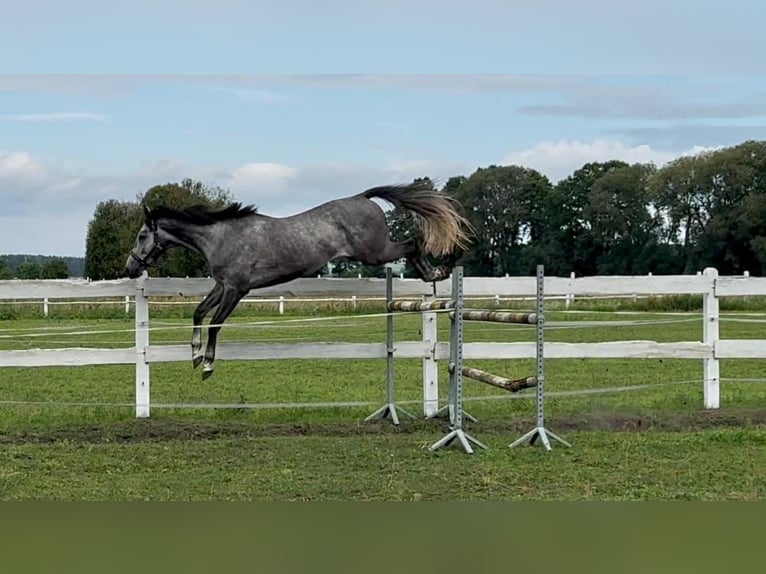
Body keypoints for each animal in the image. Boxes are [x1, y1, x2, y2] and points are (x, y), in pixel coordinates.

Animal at [125, 181, 473, 379]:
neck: (221, 236)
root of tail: (362, 197)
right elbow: (199, 313)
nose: (130, 268)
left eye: (142, 236)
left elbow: (214, 324)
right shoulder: (222, 285)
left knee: (412, 243)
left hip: (375, 252)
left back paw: (437, 272)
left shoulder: (237, 289)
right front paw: (195, 355)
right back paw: (437, 273)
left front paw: (208, 365)